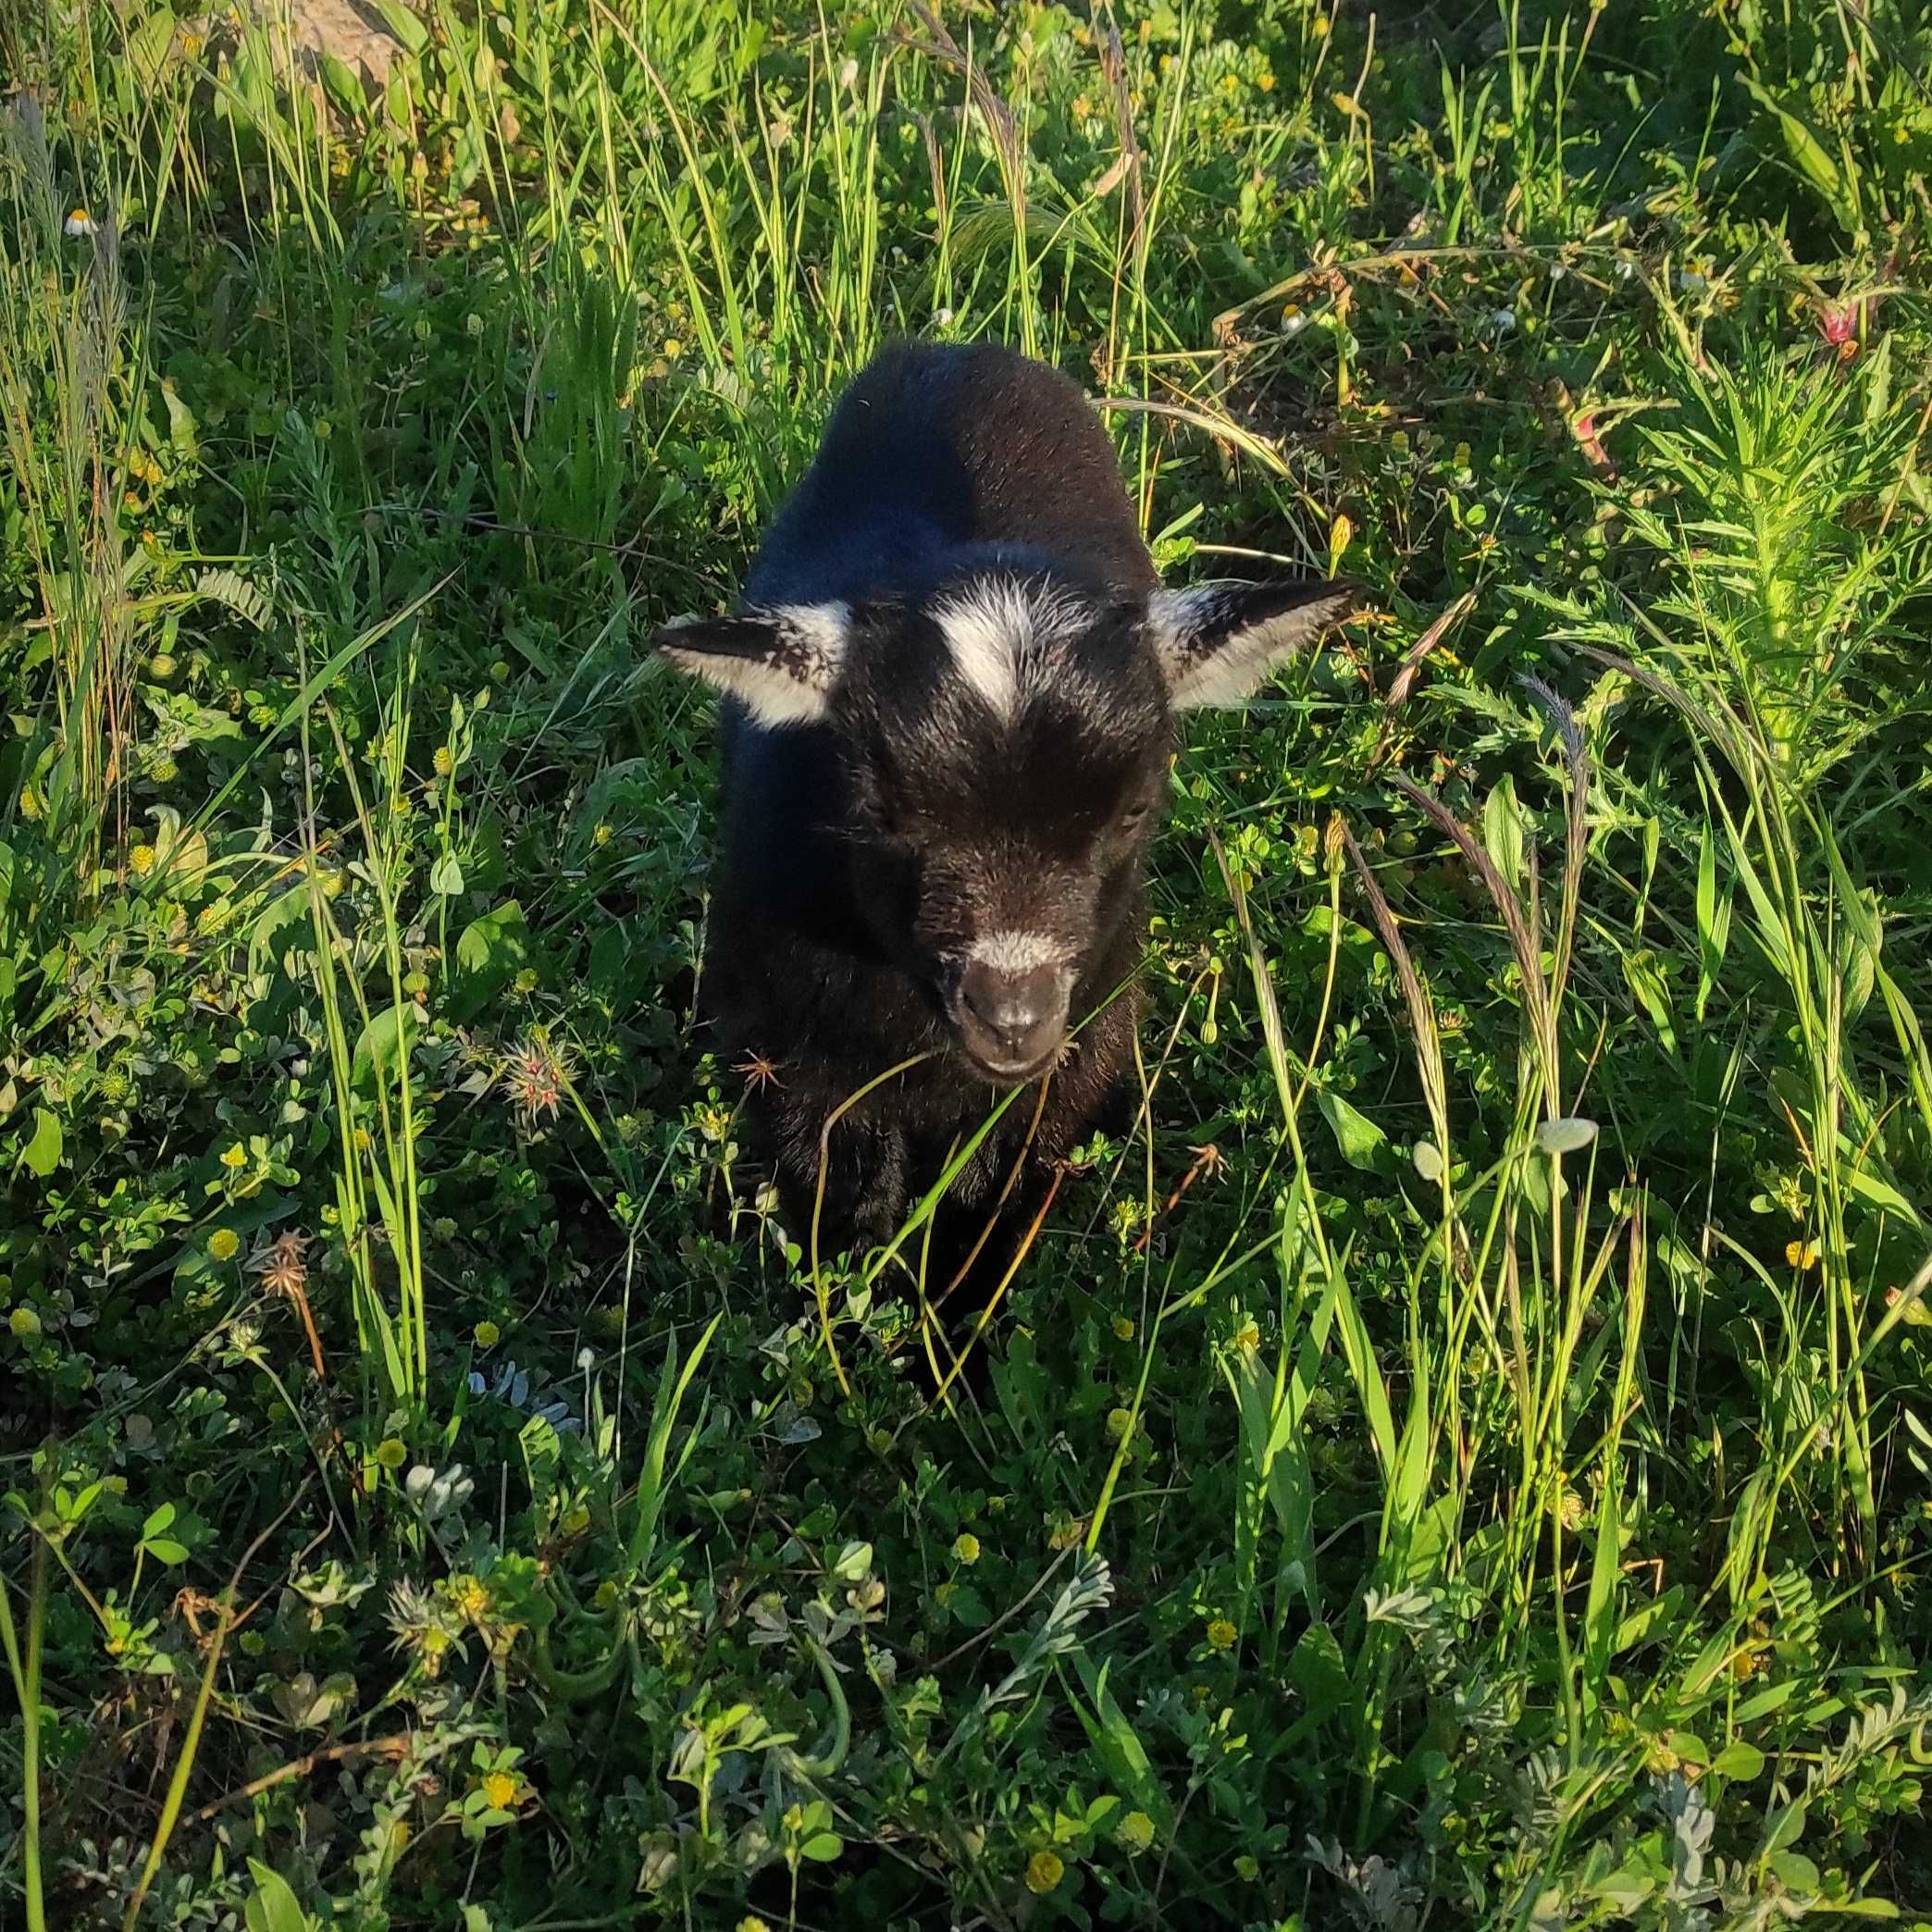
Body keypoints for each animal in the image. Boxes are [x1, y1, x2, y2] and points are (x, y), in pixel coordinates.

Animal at [656, 345, 1352, 1275]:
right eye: (884, 810)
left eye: (1133, 810)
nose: (1014, 1020)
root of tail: (963, 353)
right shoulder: (785, 1041)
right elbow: (839, 1185)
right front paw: (860, 1290)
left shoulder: (1074, 1057)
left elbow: (991, 1196)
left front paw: (951, 1305)